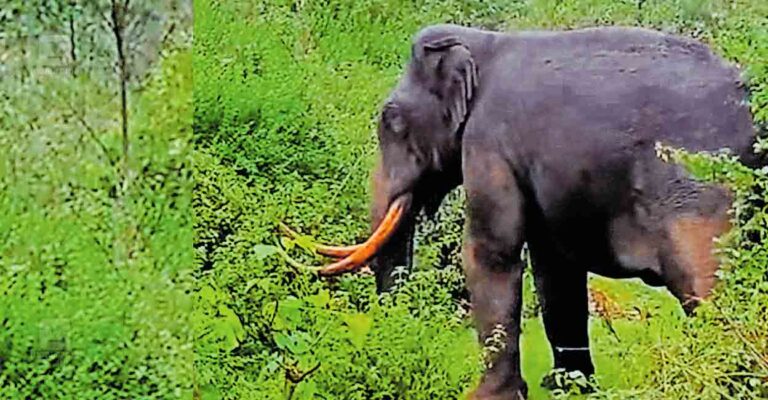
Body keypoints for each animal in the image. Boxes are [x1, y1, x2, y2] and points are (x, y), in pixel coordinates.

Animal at [292, 24, 763, 398]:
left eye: (391, 121)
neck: (484, 43)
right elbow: (554, 269)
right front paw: (570, 387)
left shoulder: (488, 143)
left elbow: (491, 254)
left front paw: (487, 396)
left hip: (699, 197)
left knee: (709, 291)